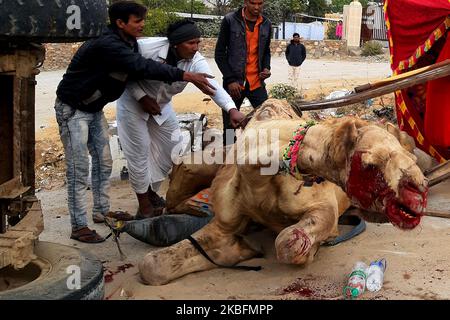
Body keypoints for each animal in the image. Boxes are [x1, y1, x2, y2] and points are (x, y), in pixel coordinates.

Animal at [139, 99, 428, 284]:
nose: (419, 191)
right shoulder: (224, 223)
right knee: (182, 175)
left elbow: (288, 241)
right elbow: (151, 265)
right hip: (201, 164)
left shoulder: (324, 206)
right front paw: (243, 248)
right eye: (370, 165)